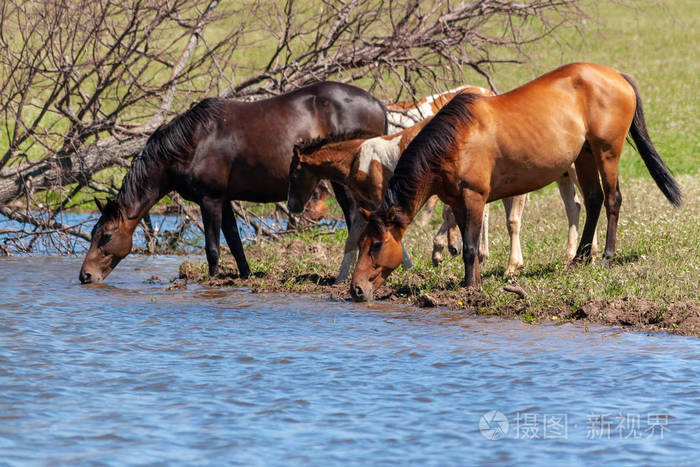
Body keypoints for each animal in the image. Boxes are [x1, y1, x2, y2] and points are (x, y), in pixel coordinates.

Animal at [79, 82, 387, 284]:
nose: (85, 276)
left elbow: (213, 247)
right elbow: (235, 243)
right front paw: (246, 277)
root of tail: (378, 105)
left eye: (105, 235)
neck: (192, 143)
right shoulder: (224, 200)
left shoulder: (210, 200)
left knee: (356, 221)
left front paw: (213, 281)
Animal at [350, 63, 682, 301]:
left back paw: (607, 257)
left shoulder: (474, 196)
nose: (356, 289)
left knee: (612, 200)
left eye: (376, 244)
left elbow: (471, 247)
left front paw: (471, 288)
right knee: (593, 200)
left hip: (606, 152)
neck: (456, 140)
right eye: (361, 242)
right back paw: (579, 257)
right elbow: (469, 244)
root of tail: (616, 75)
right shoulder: (457, 201)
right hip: (584, 156)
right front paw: (472, 282)